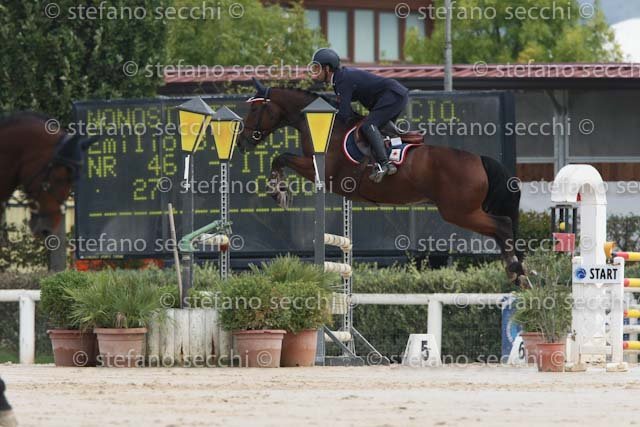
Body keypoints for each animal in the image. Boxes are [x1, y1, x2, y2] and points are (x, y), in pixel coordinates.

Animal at [237, 80, 525, 283]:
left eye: (255, 108)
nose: (241, 142)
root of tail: (479, 159)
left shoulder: (321, 170)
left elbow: (281, 157)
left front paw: (278, 191)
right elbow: (281, 157)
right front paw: (279, 190)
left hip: (459, 212)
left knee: (502, 225)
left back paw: (515, 272)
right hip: (463, 211)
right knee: (502, 229)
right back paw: (517, 273)